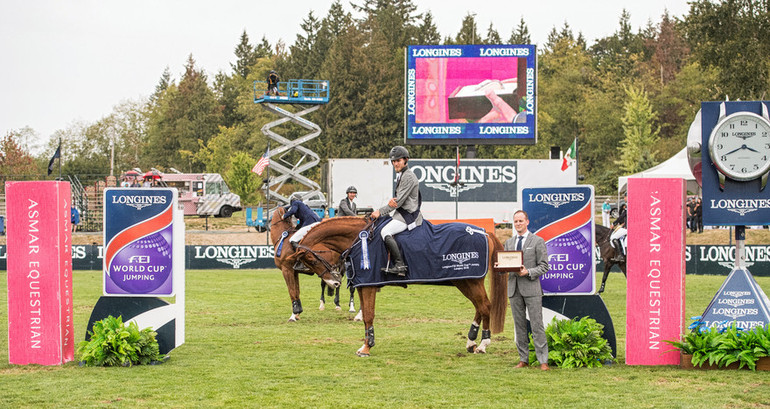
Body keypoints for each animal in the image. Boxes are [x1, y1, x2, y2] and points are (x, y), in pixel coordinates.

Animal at [296, 218, 510, 356]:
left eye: (311, 260)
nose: (334, 283)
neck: (361, 240)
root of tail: (483, 232)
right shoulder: (364, 286)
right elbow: (365, 316)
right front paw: (365, 344)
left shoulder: (369, 286)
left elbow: (369, 315)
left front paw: (367, 347)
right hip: (465, 281)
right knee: (480, 307)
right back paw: (471, 341)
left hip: (470, 280)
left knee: (485, 306)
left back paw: (483, 344)